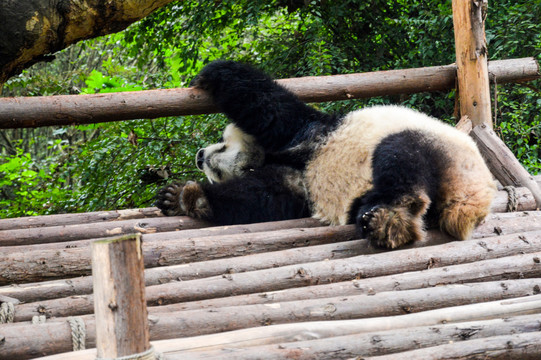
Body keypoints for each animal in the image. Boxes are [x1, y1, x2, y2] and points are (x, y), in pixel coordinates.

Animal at [155, 60, 494, 249]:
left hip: (437, 147)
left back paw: (390, 220)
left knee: (399, 157)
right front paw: (183, 197)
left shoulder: (307, 131)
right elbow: (264, 196)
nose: (200, 156)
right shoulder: (296, 183)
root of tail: (470, 203)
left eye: (223, 145)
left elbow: (269, 107)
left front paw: (210, 73)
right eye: (215, 171)